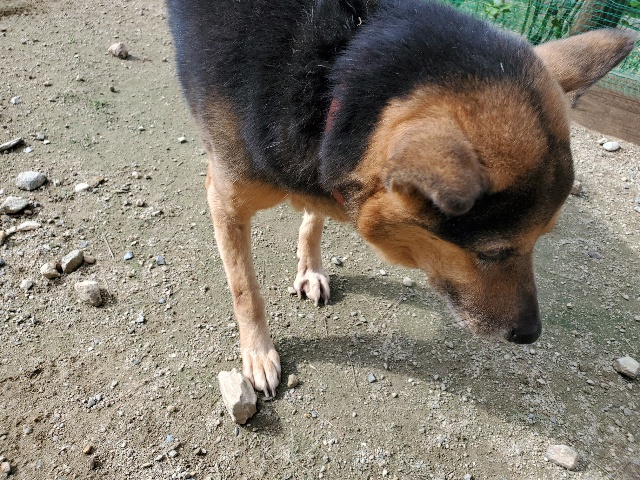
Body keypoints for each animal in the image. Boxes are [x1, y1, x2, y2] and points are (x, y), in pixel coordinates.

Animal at [167, 0, 634, 396]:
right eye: (492, 252)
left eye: (542, 238)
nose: (531, 333)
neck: (332, 71)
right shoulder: (225, 198)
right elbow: (245, 289)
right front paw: (259, 353)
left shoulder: (325, 164)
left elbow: (314, 217)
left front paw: (310, 266)